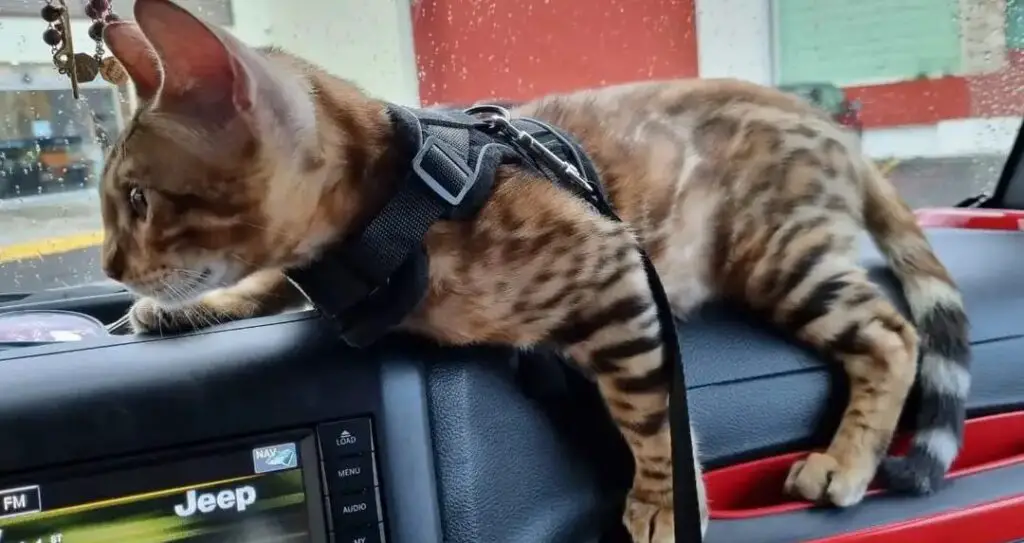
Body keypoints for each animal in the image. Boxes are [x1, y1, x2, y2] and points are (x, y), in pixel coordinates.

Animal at [99, 2, 970, 536]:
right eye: (113, 202)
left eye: (137, 199)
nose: (108, 262)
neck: (384, 207)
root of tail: (833, 128)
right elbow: (264, 281)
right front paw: (185, 306)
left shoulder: (615, 273)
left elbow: (650, 414)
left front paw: (662, 503)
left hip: (777, 250)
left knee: (891, 335)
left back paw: (846, 460)